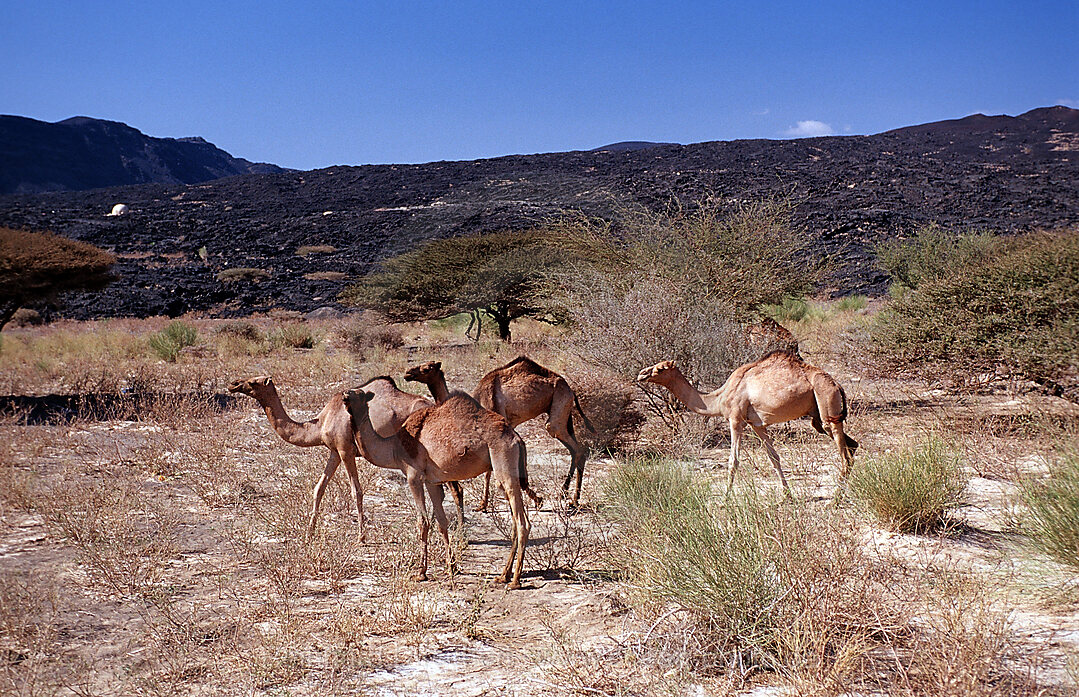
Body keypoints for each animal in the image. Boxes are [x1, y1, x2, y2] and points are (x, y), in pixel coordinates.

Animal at [227, 373, 463, 543]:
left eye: (254, 382)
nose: (233, 383)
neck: (320, 423)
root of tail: (433, 406)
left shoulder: (345, 449)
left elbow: (356, 491)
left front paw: (362, 537)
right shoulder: (333, 451)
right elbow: (319, 488)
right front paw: (309, 533)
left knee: (453, 487)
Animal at [345, 388, 539, 591]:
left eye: (359, 394)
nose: (345, 396)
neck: (394, 447)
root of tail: (517, 439)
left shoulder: (413, 476)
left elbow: (422, 522)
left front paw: (421, 573)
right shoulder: (432, 481)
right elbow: (441, 522)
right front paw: (451, 567)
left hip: (504, 461)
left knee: (522, 522)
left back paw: (515, 580)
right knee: (515, 521)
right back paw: (503, 576)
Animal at [468, 358, 595, 511]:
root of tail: (571, 390)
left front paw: (537, 500)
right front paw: (483, 504)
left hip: (558, 410)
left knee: (577, 449)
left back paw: (568, 496)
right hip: (565, 415)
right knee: (575, 451)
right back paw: (572, 499)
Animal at [634, 351, 854, 494]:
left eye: (660, 369)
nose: (641, 374)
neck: (720, 397)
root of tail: (837, 383)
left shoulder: (735, 419)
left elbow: (733, 461)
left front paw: (726, 497)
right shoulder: (756, 425)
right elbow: (774, 457)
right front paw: (787, 495)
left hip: (826, 400)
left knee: (844, 452)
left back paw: (836, 498)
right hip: (818, 416)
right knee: (852, 446)